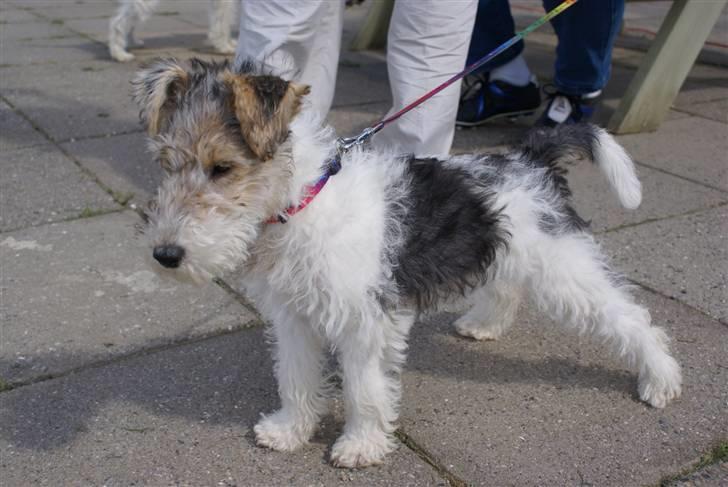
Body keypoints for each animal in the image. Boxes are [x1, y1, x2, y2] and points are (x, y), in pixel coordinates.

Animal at [108, 0, 236, 63]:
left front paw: (229, 43)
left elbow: (225, 20)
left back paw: (132, 42)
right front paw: (224, 47)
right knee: (117, 23)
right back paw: (119, 54)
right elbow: (222, 21)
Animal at [132, 57, 684, 468]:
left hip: (566, 268)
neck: (304, 202)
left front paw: (360, 446)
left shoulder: (364, 320)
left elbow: (365, 389)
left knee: (634, 319)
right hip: (517, 252)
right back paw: (483, 325)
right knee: (507, 287)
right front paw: (290, 431)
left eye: (222, 167)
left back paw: (661, 380)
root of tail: (532, 160)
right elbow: (295, 376)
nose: (166, 255)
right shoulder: (293, 316)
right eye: (166, 163)